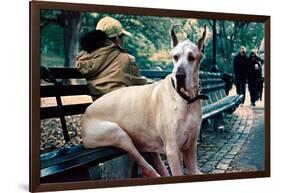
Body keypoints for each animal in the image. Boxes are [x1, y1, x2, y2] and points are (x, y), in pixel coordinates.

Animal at [82, 25, 207, 178]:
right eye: (175, 57)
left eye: (191, 58)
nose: (179, 75)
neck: (186, 100)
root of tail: (86, 112)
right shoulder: (173, 150)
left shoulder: (190, 146)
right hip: (117, 133)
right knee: (144, 164)